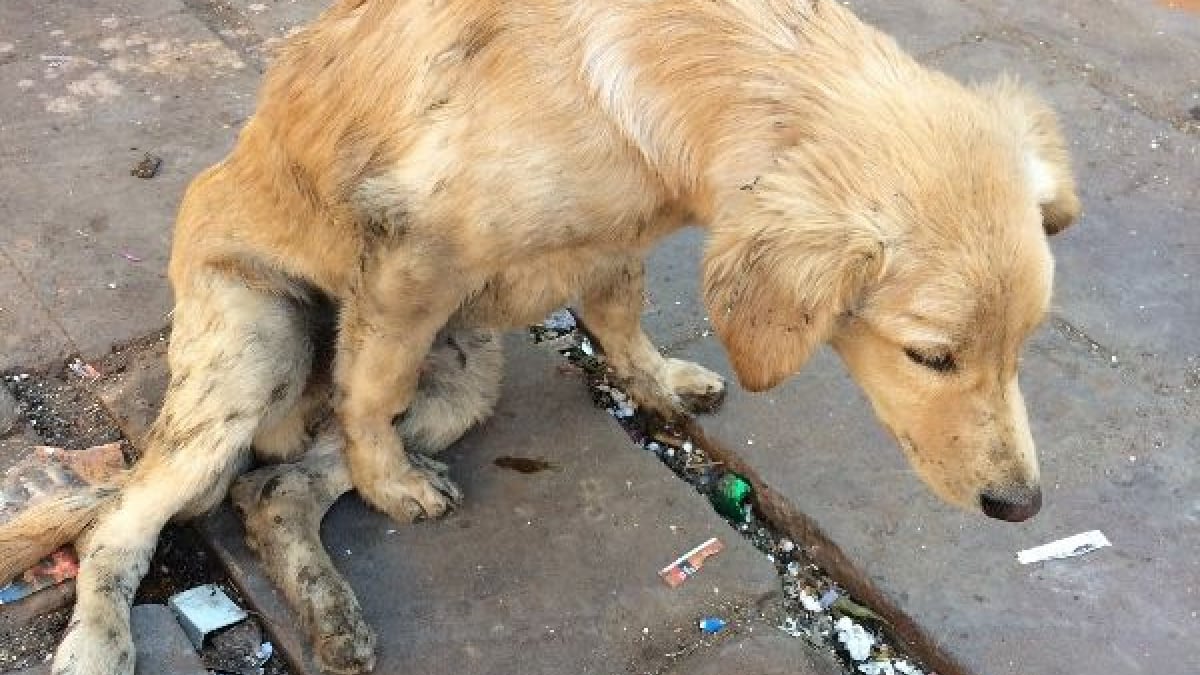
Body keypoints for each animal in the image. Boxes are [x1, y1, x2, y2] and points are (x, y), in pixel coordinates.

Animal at [0, 0, 1084, 667]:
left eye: (1026, 343)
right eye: (931, 355)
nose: (1021, 507)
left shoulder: (611, 241)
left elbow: (622, 320)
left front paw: (661, 381)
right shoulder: (415, 258)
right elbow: (370, 389)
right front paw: (386, 481)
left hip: (462, 380)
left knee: (275, 491)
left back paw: (335, 614)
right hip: (254, 358)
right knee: (123, 522)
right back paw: (101, 643)